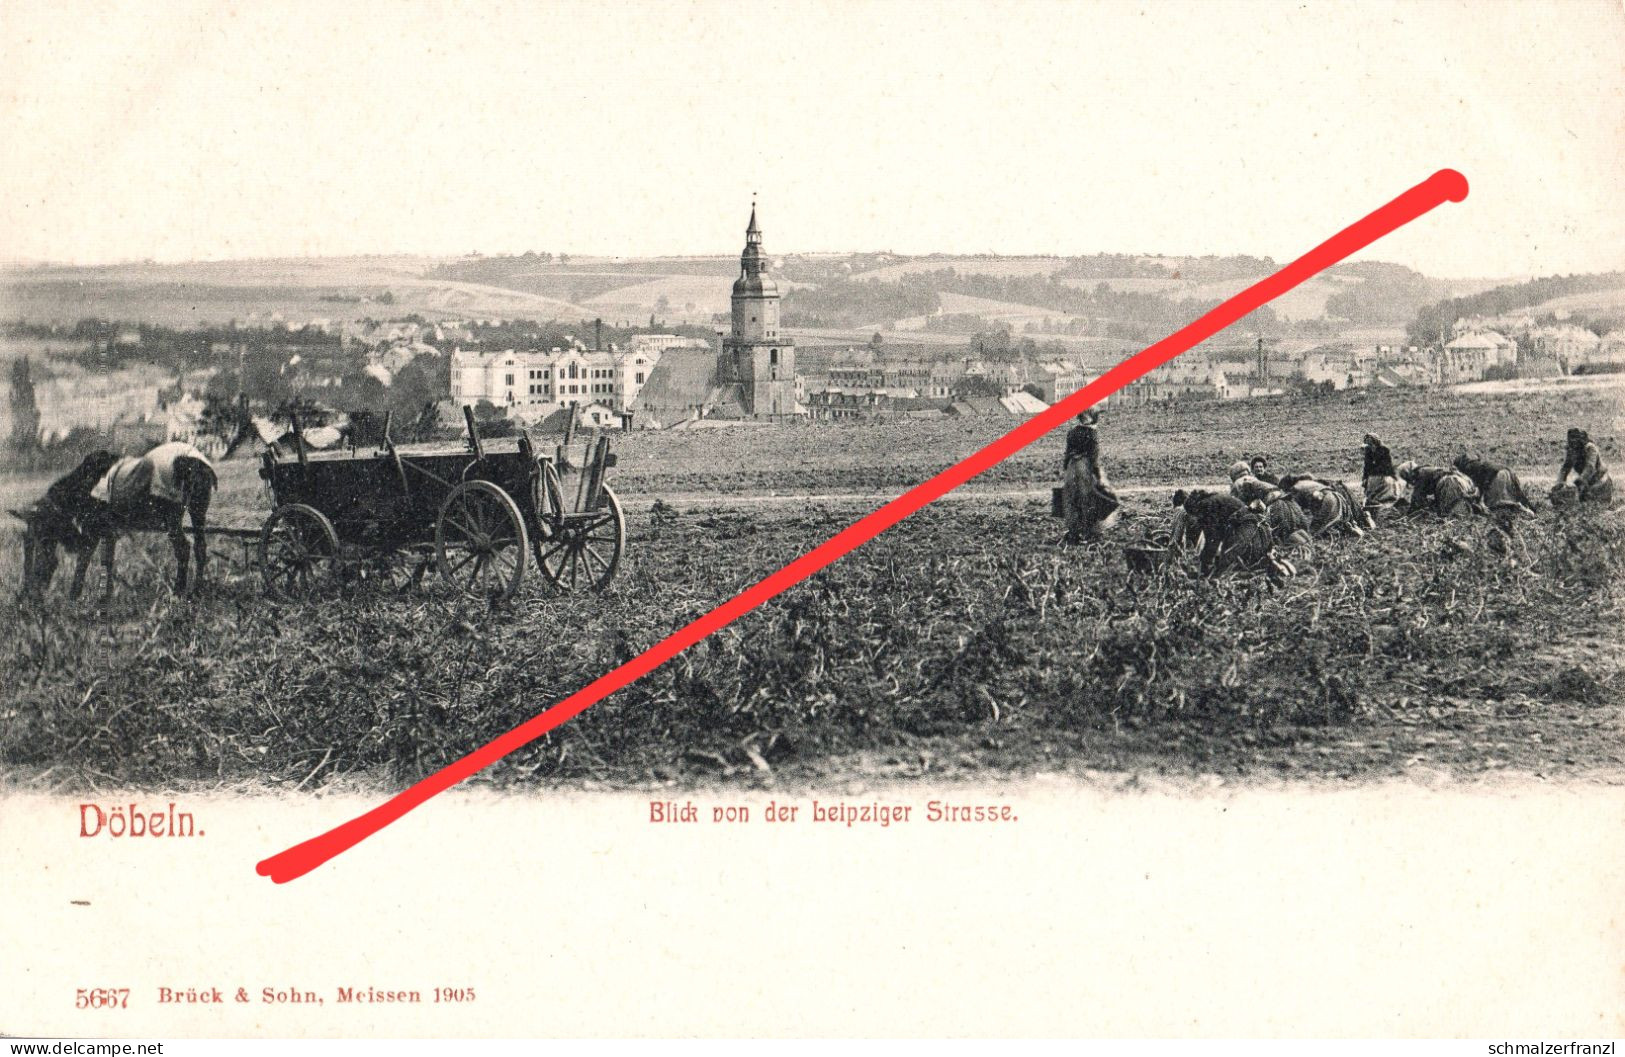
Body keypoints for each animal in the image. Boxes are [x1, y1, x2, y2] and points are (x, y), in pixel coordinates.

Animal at [12, 439, 217, 601]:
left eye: (40, 531)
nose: (29, 593)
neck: (78, 490)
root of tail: (193, 461)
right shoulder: (108, 532)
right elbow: (107, 563)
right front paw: (105, 597)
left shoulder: (92, 531)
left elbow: (82, 563)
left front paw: (73, 597)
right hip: (198, 509)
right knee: (200, 547)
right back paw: (196, 591)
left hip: (171, 518)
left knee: (183, 548)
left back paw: (178, 592)